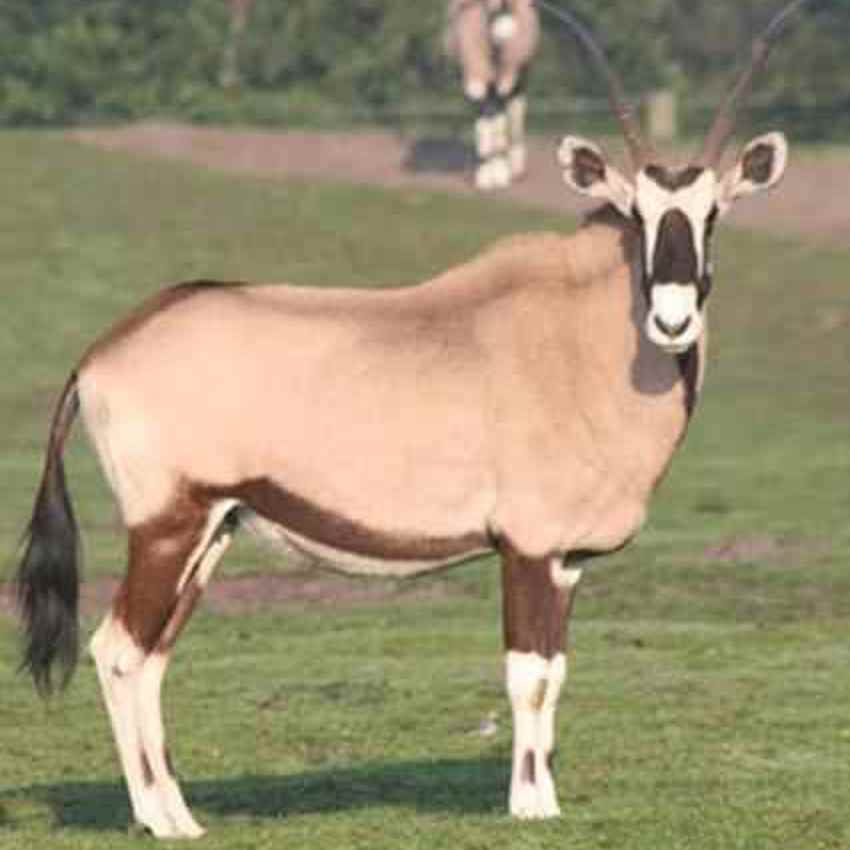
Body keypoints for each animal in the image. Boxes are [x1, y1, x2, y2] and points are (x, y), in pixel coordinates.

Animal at [446, 0, 540, 189]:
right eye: (490, 8)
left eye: (511, 7)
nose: (508, 36)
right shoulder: (476, 82)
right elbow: (483, 123)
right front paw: (484, 176)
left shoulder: (502, 85)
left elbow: (498, 123)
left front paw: (500, 174)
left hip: (519, 78)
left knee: (515, 114)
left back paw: (516, 167)